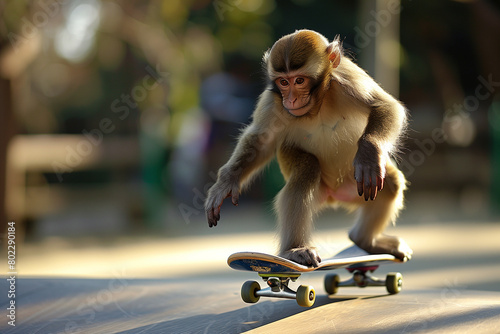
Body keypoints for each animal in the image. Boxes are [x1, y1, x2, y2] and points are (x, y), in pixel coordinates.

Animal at [205, 30, 412, 268]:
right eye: (283, 82)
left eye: (299, 80)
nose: (291, 99)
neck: (316, 105)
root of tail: (333, 196)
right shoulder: (272, 101)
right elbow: (261, 141)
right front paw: (226, 183)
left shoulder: (348, 77)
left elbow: (385, 106)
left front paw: (369, 155)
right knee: (306, 172)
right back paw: (295, 250)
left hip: (356, 188)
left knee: (390, 182)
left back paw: (366, 241)